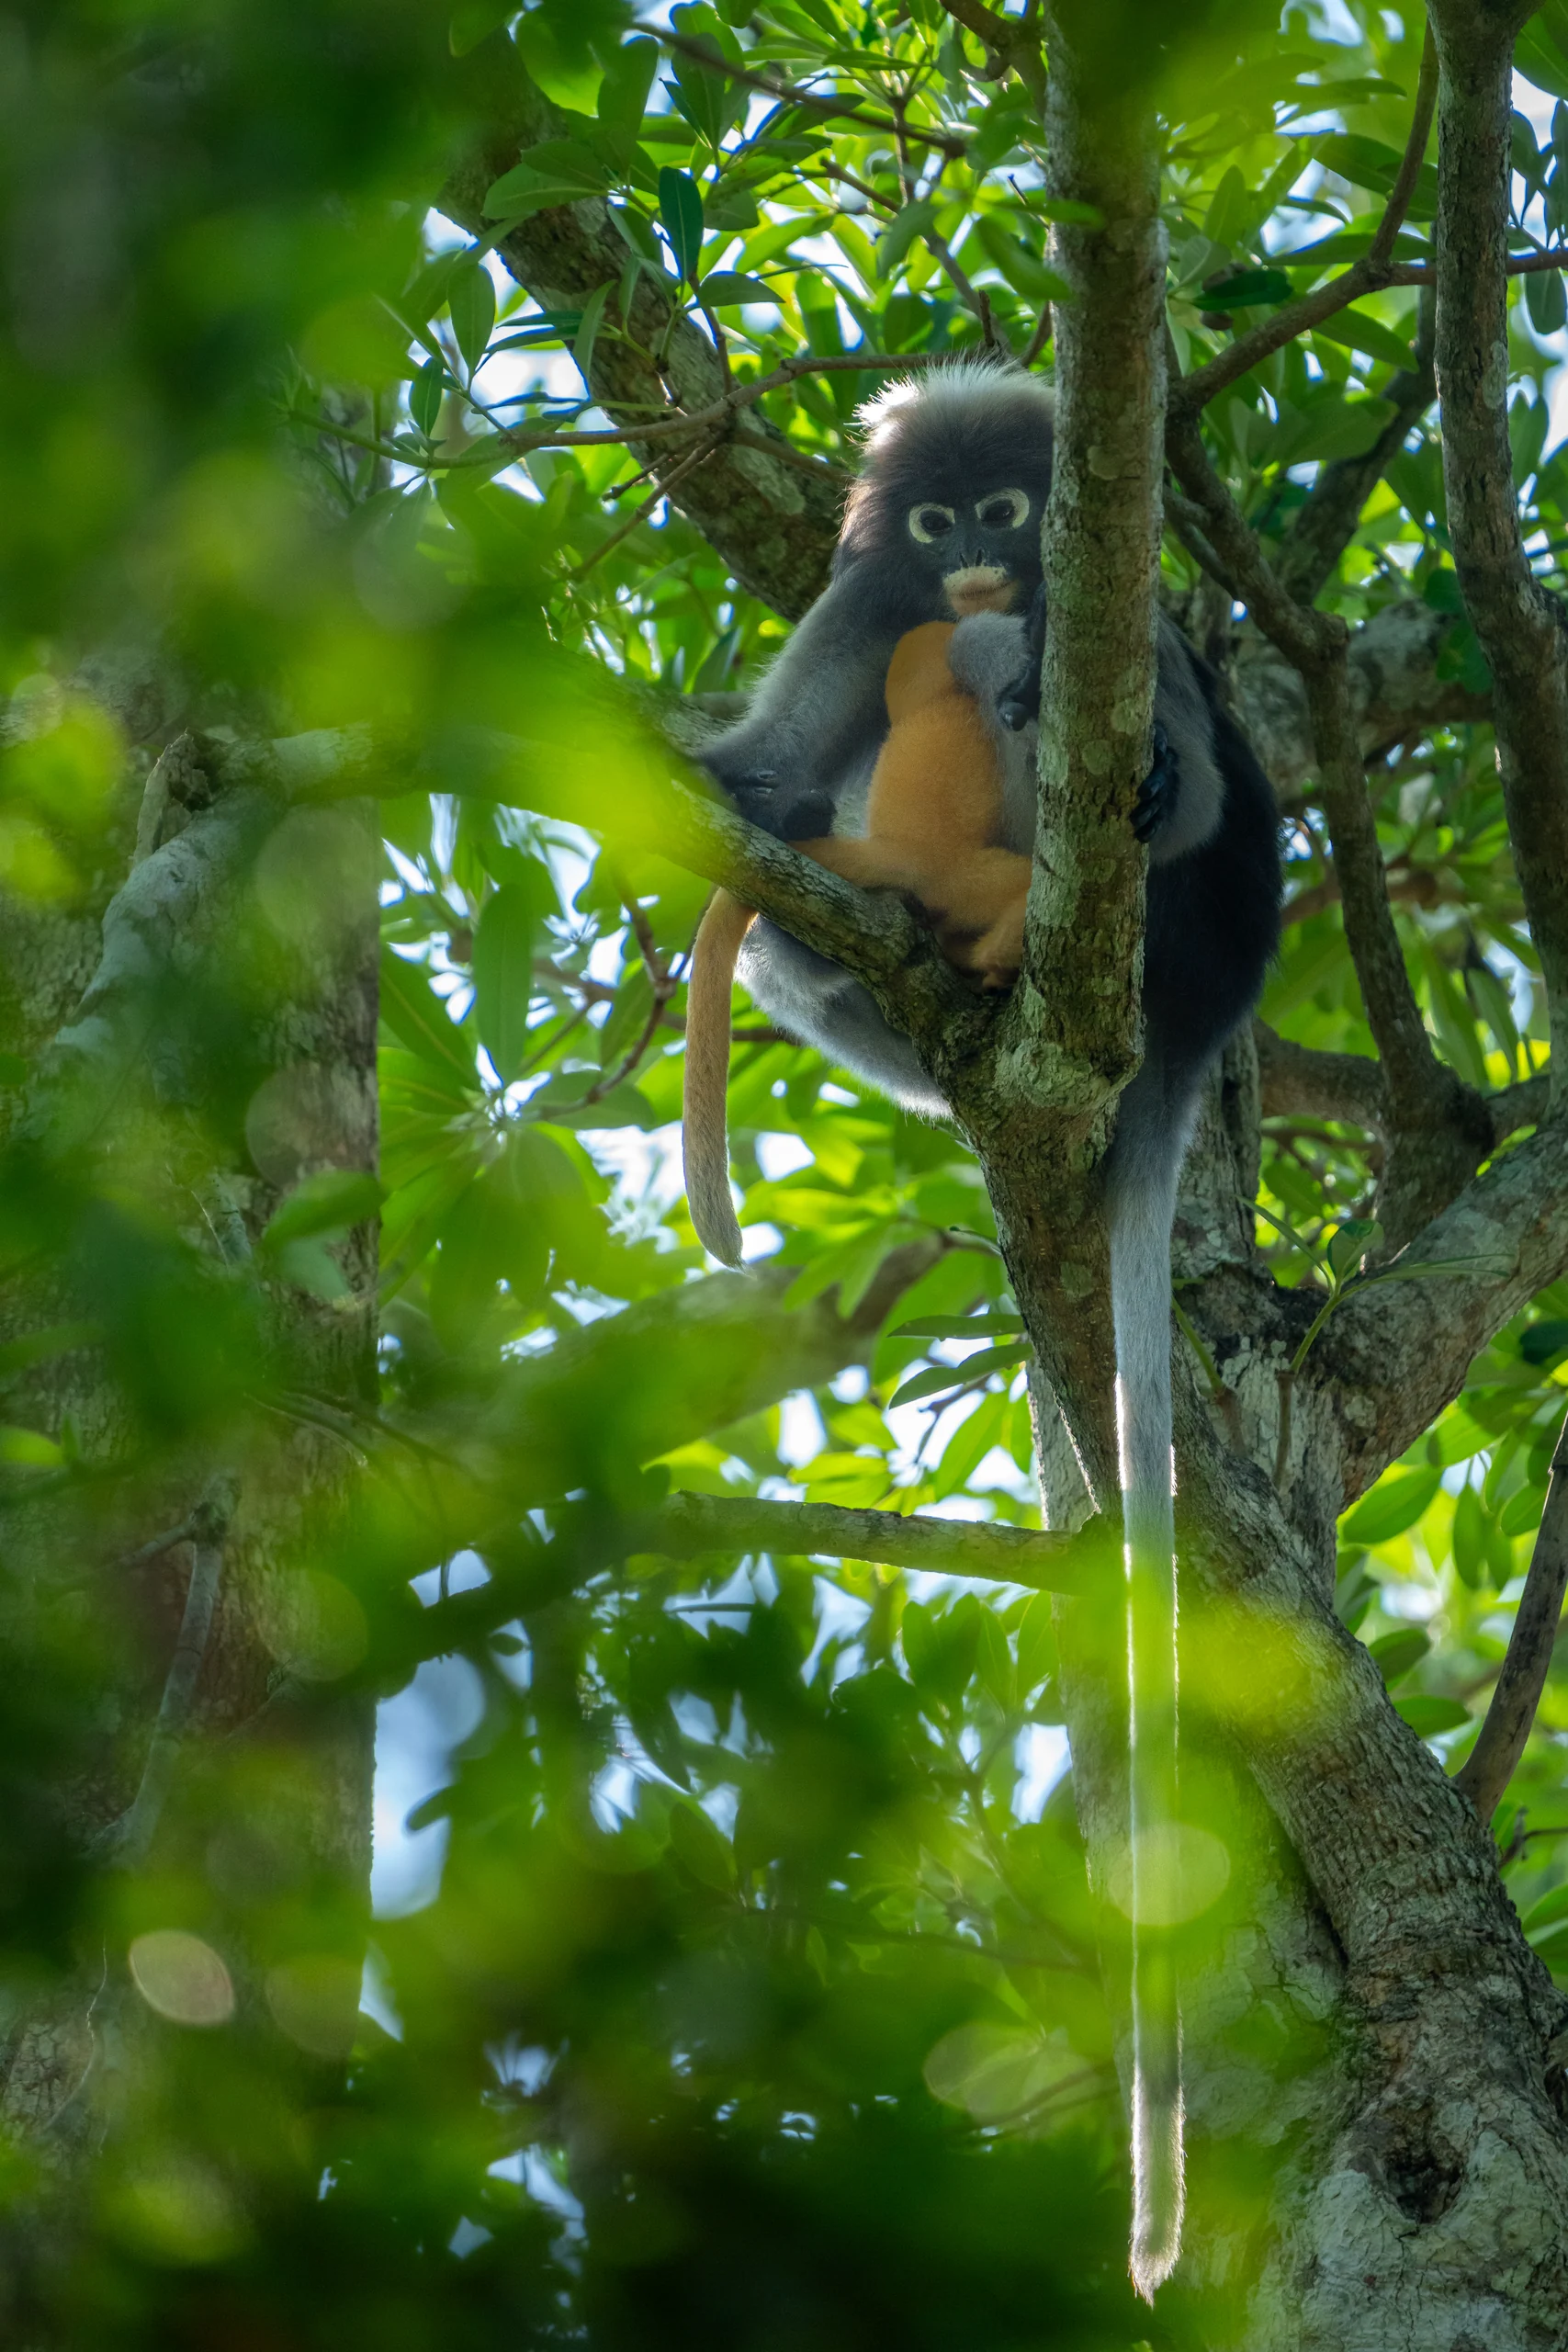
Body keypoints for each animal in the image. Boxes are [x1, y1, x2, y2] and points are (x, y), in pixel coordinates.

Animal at [683, 359, 1282, 2297]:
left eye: (1010, 512)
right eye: (933, 518)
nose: (972, 559)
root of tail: (1194, 1010)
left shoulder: (1117, 608)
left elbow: (1175, 761)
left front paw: (1127, 743)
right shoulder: (865, 597)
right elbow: (764, 774)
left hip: (1145, 893)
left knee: (1062, 723)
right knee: (819, 885)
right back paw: (922, 937)